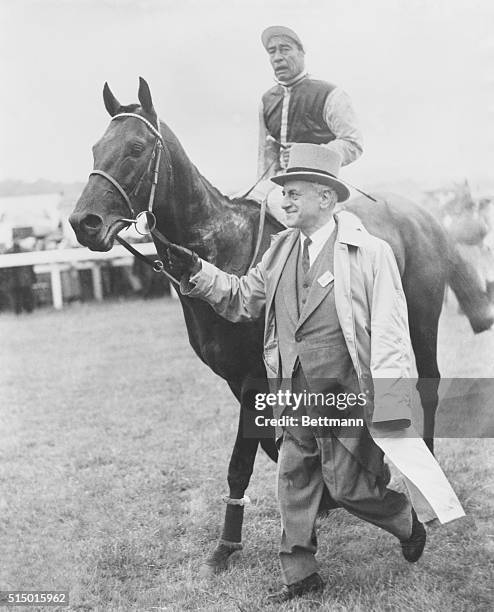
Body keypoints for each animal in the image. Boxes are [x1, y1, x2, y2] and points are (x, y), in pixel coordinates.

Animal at [67, 79, 492, 576]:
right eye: (96, 148)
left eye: (135, 148)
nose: (83, 222)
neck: (223, 247)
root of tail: (424, 215)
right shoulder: (239, 379)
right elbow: (274, 444)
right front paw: (323, 499)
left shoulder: (255, 375)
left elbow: (240, 460)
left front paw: (227, 545)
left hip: (422, 320)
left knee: (428, 387)